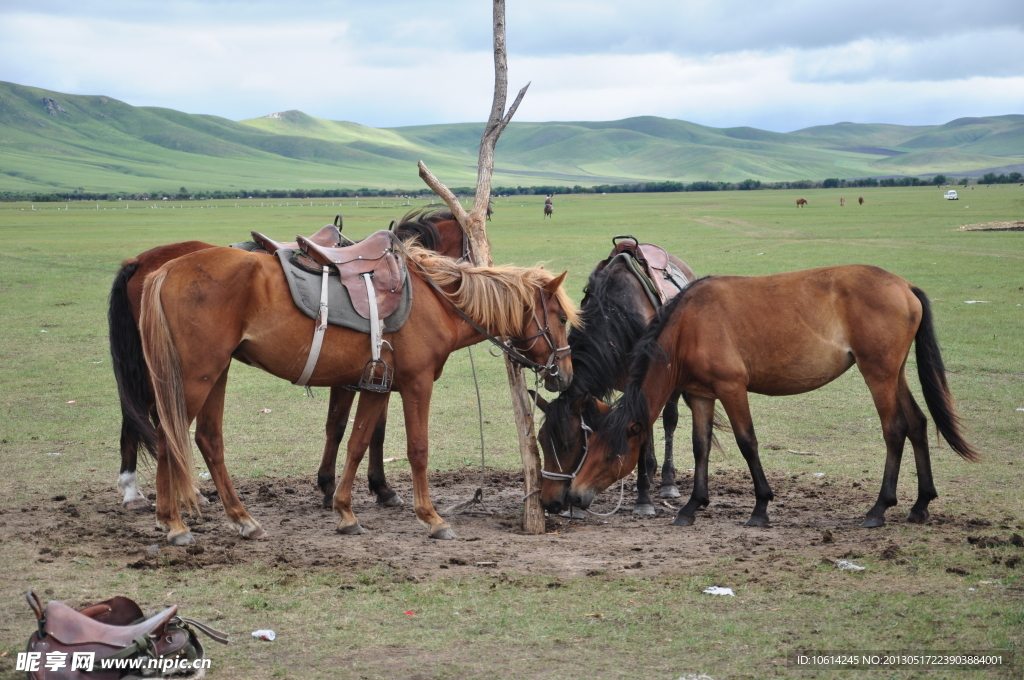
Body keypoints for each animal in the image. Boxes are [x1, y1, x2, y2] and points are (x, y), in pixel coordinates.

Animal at [139, 242, 577, 544]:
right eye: (559, 318)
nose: (566, 376)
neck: (437, 302)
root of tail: (167, 269)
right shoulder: (416, 384)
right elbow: (418, 449)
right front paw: (432, 518)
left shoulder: (377, 386)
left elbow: (358, 441)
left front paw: (346, 513)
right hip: (197, 375)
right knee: (167, 435)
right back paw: (174, 522)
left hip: (217, 371)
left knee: (207, 439)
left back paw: (239, 519)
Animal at [532, 246, 696, 517]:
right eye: (542, 441)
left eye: (569, 445)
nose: (550, 502)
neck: (616, 317)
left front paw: (644, 500)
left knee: (669, 419)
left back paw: (667, 482)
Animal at [565, 265, 977, 530]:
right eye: (589, 447)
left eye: (610, 454)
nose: (574, 495)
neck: (689, 326)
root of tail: (905, 286)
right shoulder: (700, 396)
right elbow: (701, 447)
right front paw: (692, 506)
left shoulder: (732, 389)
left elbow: (747, 443)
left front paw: (761, 506)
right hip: (895, 373)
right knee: (918, 424)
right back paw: (920, 504)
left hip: (878, 374)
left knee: (895, 430)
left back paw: (879, 508)